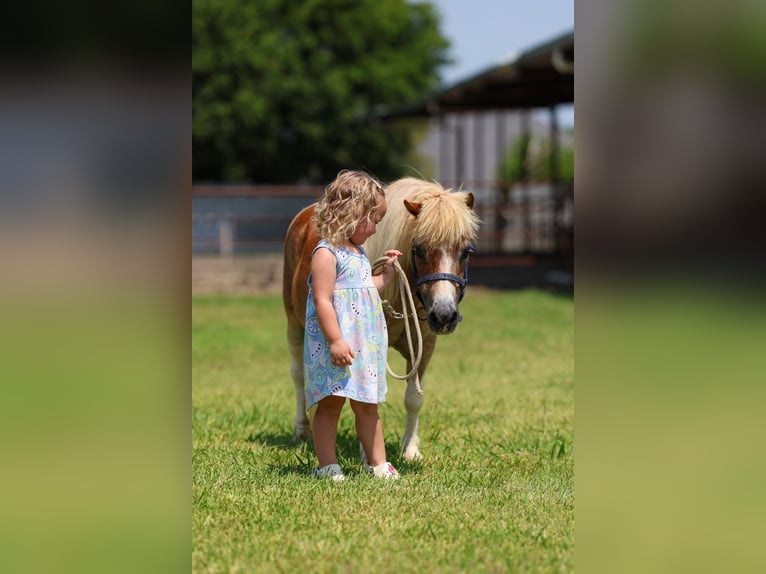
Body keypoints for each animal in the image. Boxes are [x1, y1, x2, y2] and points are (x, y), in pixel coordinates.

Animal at [282, 177, 481, 461]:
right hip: (294, 324)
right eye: (419, 249)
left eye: (466, 252)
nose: (444, 315)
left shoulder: (424, 346)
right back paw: (301, 430)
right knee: (298, 375)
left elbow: (413, 399)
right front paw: (367, 454)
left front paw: (410, 449)